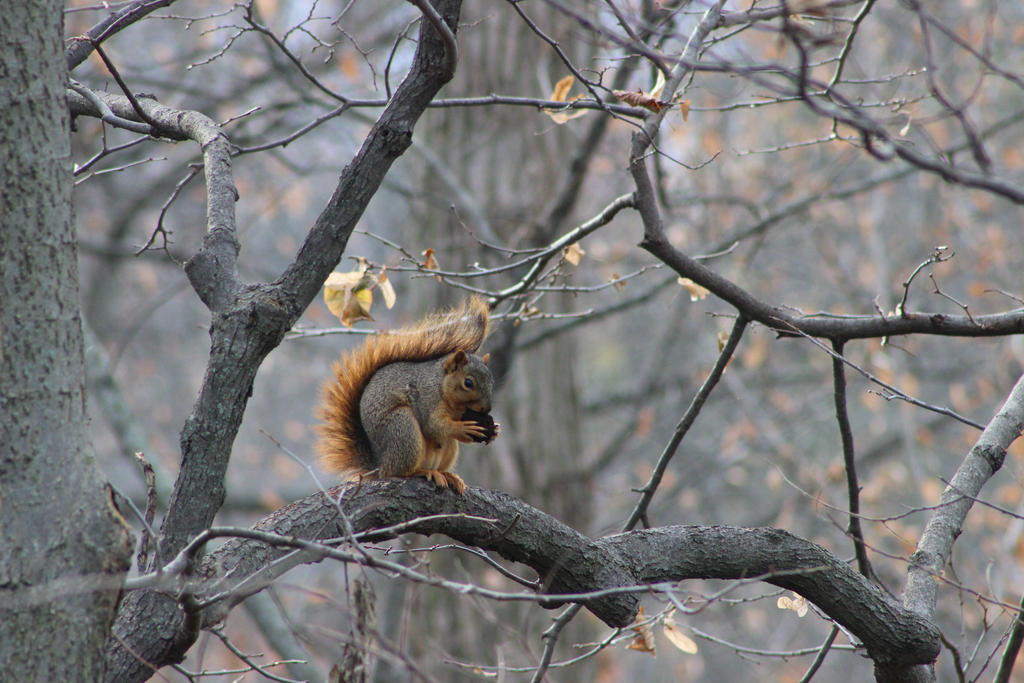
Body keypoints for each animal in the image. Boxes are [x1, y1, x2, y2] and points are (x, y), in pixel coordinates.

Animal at [315, 296, 499, 493]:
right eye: (468, 383)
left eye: (492, 381)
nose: (486, 409)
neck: (442, 388)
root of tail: (380, 465)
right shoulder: (427, 399)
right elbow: (434, 426)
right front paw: (465, 428)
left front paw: (495, 430)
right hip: (402, 427)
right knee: (398, 471)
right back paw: (423, 472)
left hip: (448, 448)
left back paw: (448, 475)